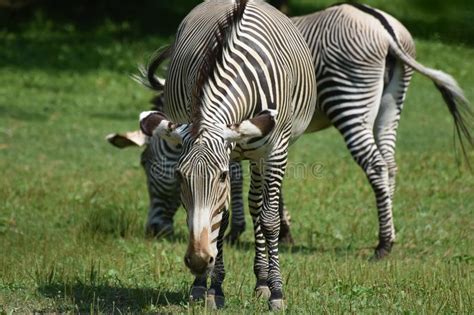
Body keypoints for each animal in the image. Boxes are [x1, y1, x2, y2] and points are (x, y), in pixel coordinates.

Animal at [137, 0, 316, 312]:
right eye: (179, 176)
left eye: (220, 177)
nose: (198, 260)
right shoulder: (227, 152)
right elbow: (220, 220)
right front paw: (211, 288)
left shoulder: (275, 151)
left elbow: (269, 219)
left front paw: (277, 291)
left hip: (259, 155)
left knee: (257, 207)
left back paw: (262, 282)